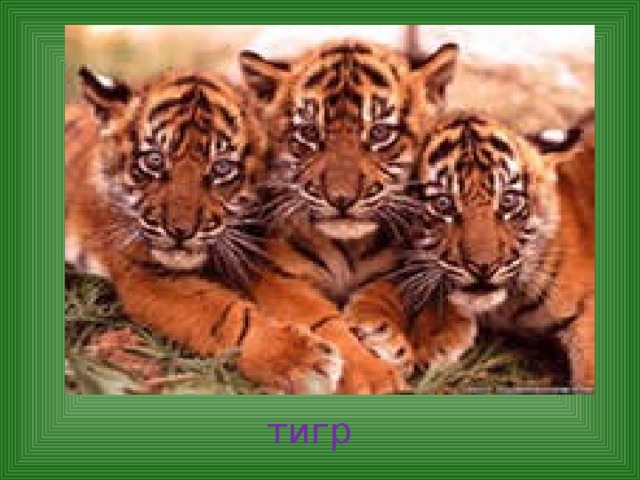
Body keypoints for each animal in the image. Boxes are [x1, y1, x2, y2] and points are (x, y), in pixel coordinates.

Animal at [65, 67, 353, 394]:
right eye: (154, 160)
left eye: (222, 168)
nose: (180, 231)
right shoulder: (147, 273)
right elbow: (226, 316)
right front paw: (301, 361)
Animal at [239, 39, 459, 392]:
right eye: (309, 133)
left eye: (380, 133)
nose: (341, 198)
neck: (350, 247)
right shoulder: (278, 275)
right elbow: (325, 323)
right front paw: (375, 378)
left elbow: (385, 290)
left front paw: (382, 332)